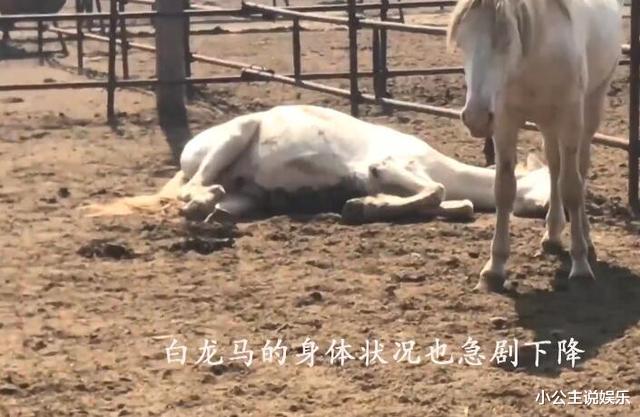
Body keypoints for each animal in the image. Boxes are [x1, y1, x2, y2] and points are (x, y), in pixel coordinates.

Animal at [84, 105, 551, 225]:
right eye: (547, 178)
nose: (551, 208)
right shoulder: (388, 165)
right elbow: (433, 192)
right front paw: (362, 208)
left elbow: (456, 205)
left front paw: (365, 205)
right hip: (232, 138)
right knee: (189, 189)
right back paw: (202, 201)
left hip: (248, 195)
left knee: (217, 202)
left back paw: (216, 212)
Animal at [447, 0, 623, 291]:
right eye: (461, 42)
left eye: (506, 40)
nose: (476, 118)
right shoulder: (504, 122)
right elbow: (504, 190)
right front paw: (494, 268)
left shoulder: (570, 118)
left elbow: (572, 188)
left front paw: (580, 264)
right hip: (547, 123)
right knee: (554, 167)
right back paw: (552, 234)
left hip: (590, 108)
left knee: (579, 169)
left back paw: (585, 240)